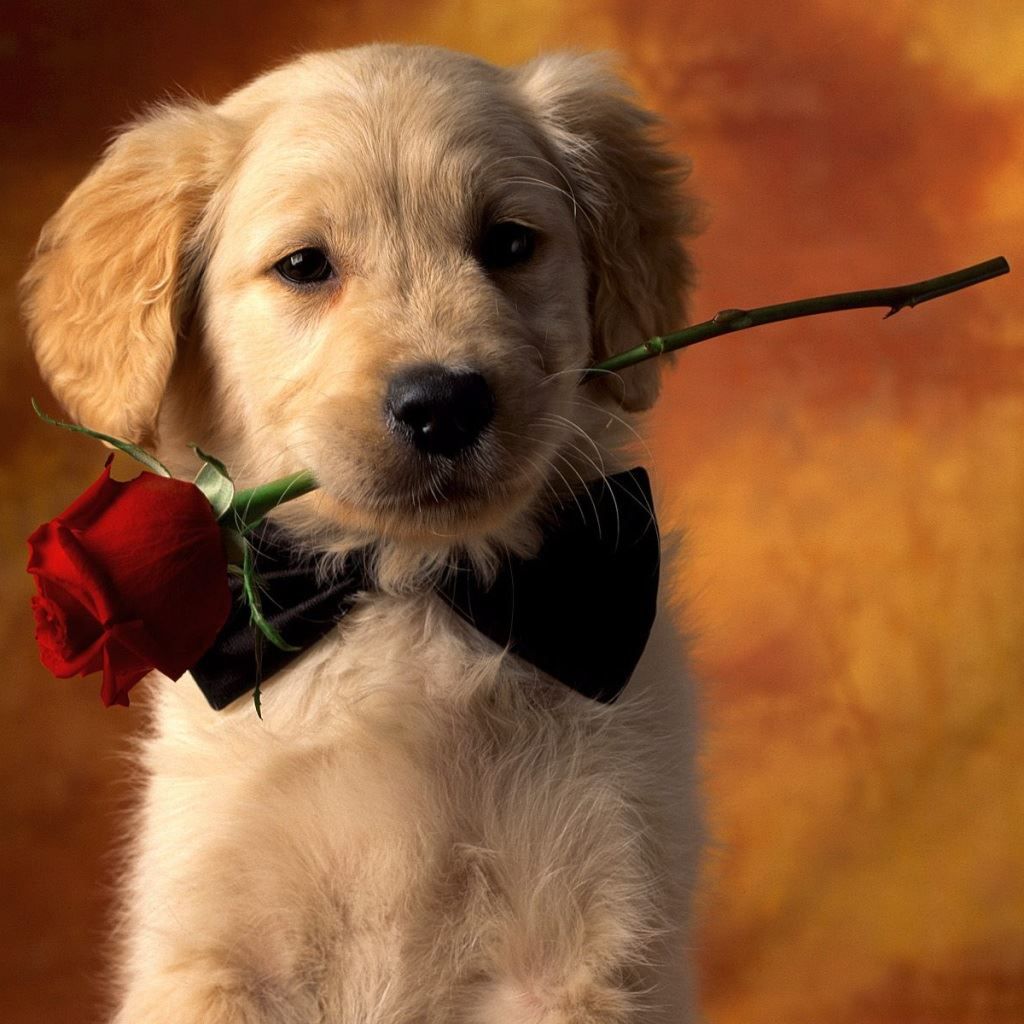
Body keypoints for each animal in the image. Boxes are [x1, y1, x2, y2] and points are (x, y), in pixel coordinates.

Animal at [28, 41, 708, 1024]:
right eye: (305, 265)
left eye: (509, 243)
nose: (444, 404)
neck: (409, 593)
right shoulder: (216, 945)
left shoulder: (586, 940)